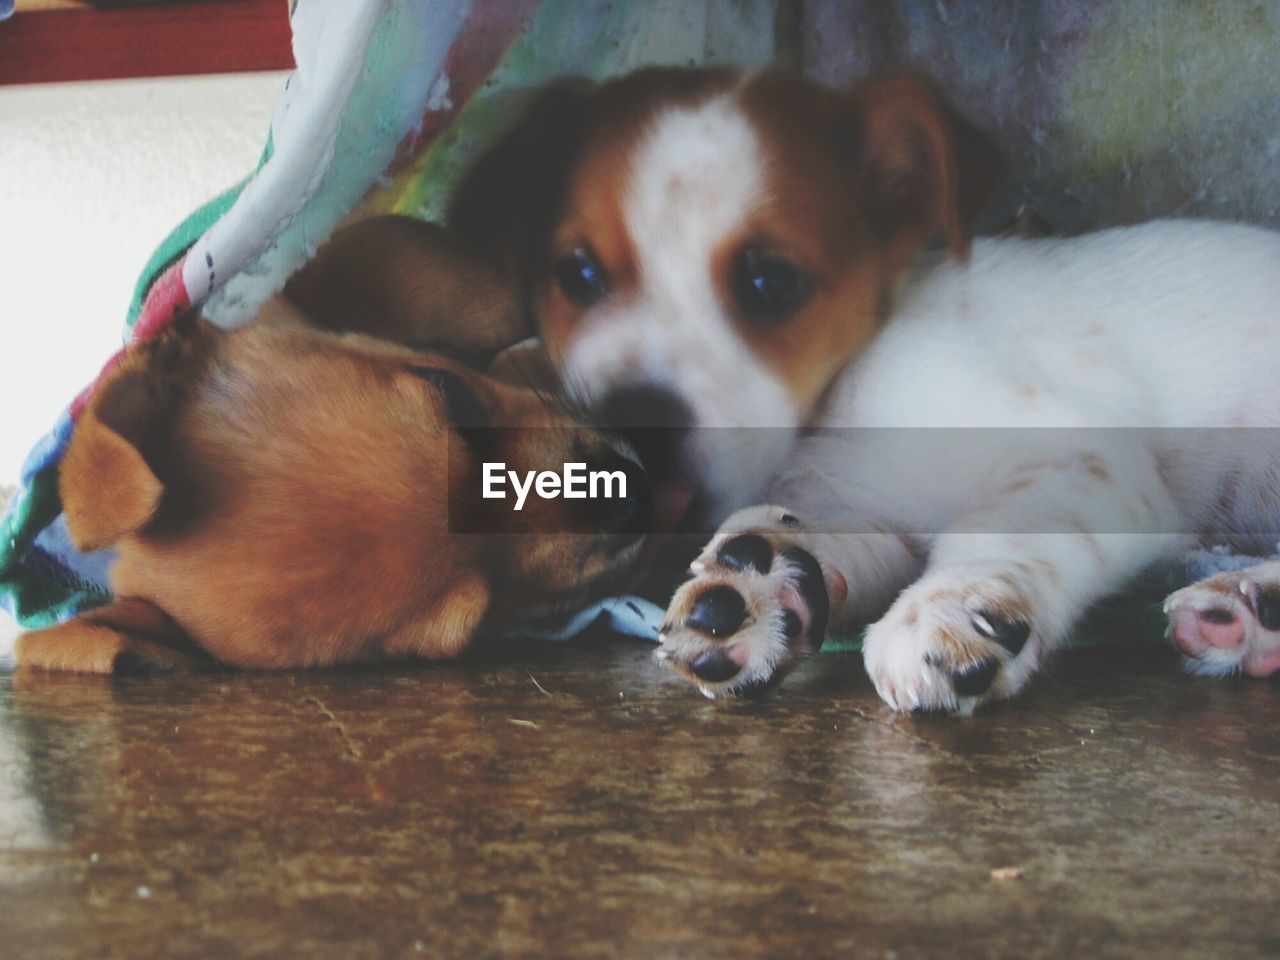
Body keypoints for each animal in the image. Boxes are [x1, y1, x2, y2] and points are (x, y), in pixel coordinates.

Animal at [455, 67, 1280, 711]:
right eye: (578, 274)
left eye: (771, 281)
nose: (637, 419)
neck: (829, 415)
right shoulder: (871, 515)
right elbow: (812, 535)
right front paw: (757, 589)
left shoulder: (1093, 464)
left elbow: (1000, 529)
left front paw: (961, 610)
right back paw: (1249, 611)